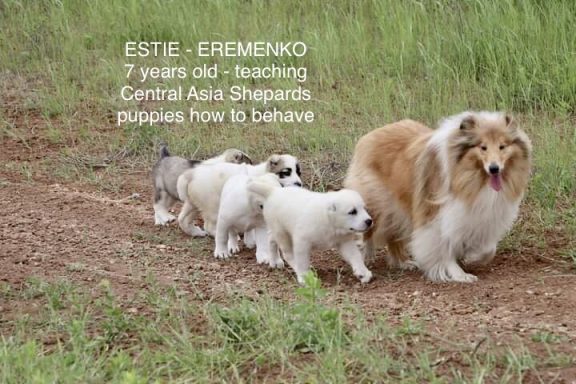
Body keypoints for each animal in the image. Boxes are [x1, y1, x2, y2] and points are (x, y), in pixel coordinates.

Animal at [344, 111, 532, 282]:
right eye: (482, 147)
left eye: (502, 146)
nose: (494, 169)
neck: (473, 178)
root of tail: (370, 135)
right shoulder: (436, 214)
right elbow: (443, 246)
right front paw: (459, 274)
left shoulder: (478, 216)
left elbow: (488, 249)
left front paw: (473, 257)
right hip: (377, 206)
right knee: (369, 234)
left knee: (393, 237)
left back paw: (404, 263)